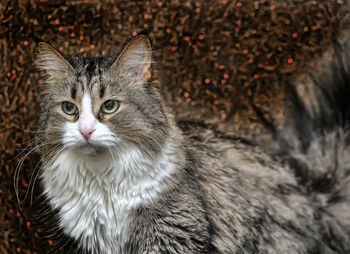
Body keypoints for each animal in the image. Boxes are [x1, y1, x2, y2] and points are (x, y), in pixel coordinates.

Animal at [32, 34, 348, 254]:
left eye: (109, 106)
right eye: (70, 109)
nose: (85, 130)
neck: (103, 181)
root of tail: (311, 193)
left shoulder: (173, 231)